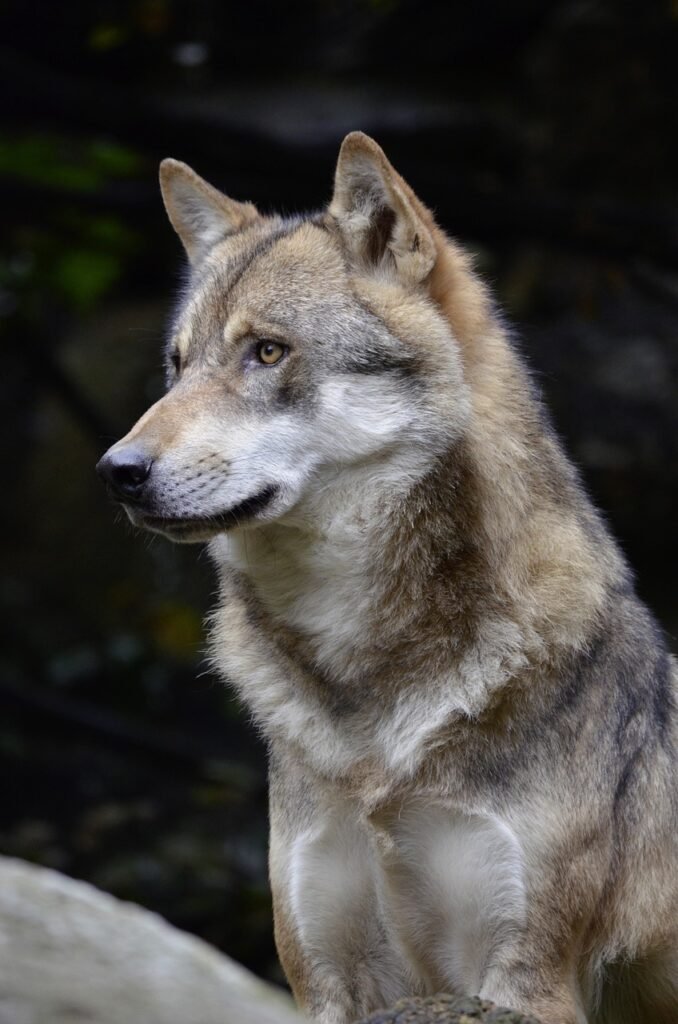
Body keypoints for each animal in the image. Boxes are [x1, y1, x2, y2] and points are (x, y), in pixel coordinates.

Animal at [96, 136, 678, 1024]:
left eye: (268, 351)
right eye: (178, 365)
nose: (118, 472)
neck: (371, 697)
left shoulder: (523, 979)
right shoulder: (328, 981)